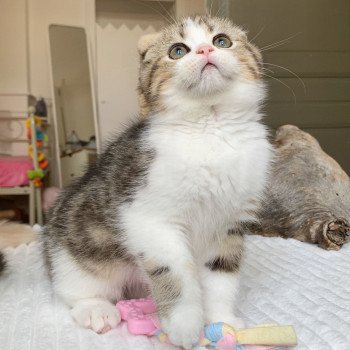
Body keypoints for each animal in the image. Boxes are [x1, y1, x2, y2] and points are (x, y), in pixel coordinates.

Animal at [43, 16, 272, 350]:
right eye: (178, 50)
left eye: (222, 41)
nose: (204, 50)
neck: (211, 126)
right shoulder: (147, 216)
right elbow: (175, 268)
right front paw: (184, 325)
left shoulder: (230, 221)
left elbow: (222, 273)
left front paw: (221, 320)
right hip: (71, 246)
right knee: (73, 287)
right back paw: (96, 309)